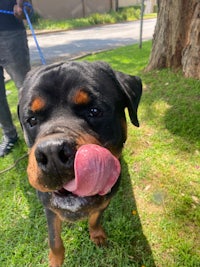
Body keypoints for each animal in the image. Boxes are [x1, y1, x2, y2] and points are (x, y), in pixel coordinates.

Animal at [18, 61, 141, 267]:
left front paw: (97, 234)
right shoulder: (49, 208)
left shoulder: (105, 200)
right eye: (32, 120)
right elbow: (54, 240)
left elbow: (95, 218)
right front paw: (55, 259)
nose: (52, 152)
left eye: (94, 111)